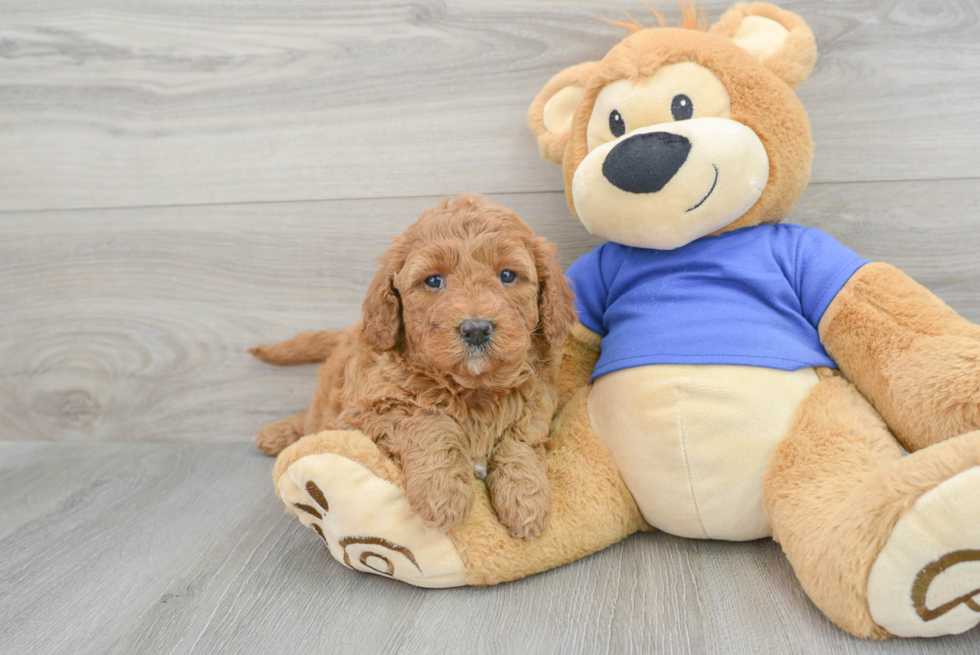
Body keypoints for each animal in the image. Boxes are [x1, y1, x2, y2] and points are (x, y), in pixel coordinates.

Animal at [249, 193, 580, 540]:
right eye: (433, 280)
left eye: (507, 275)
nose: (476, 329)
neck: (472, 388)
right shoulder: (372, 406)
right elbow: (431, 423)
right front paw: (443, 495)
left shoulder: (536, 402)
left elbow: (520, 442)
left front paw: (526, 501)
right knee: (312, 421)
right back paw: (275, 434)